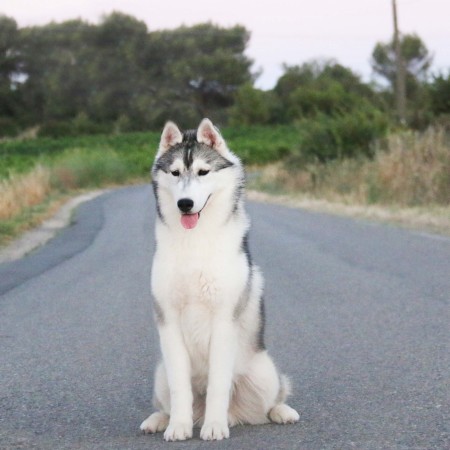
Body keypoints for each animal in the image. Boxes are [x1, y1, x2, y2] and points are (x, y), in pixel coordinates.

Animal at [139, 118, 298, 442]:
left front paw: (214, 425)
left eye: (203, 172)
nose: (185, 203)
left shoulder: (224, 319)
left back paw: (280, 412)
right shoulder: (168, 321)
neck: (195, 241)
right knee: (167, 401)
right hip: (160, 372)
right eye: (175, 173)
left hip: (265, 373)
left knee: (271, 401)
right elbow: (180, 388)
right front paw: (179, 426)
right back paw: (159, 419)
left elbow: (218, 385)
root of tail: (235, 415)